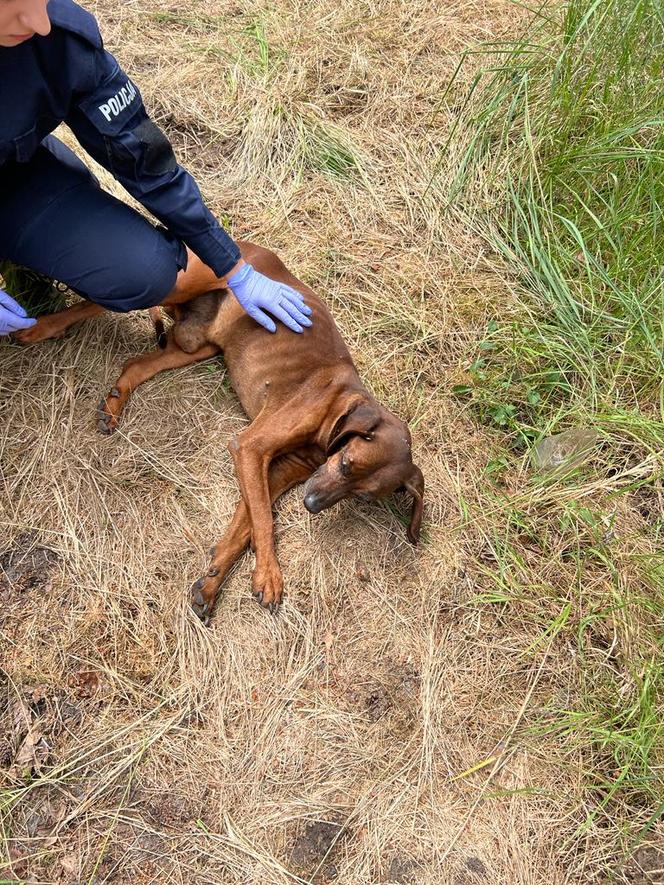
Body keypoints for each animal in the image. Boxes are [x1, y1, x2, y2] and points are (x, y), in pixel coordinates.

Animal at [15, 238, 426, 620]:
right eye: (346, 464)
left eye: (363, 498)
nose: (310, 505)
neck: (339, 407)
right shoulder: (251, 448)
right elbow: (263, 520)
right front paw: (269, 574)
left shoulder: (275, 470)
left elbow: (247, 523)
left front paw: (213, 582)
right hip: (177, 286)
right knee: (95, 302)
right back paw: (39, 328)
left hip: (195, 347)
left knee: (135, 363)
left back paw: (114, 404)